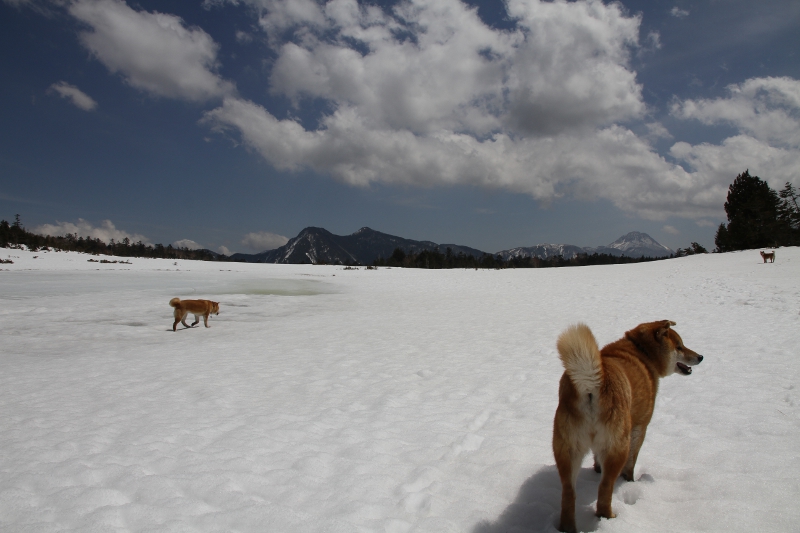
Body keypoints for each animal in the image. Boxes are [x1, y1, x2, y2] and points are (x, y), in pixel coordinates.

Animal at [552, 320, 704, 532]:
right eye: (680, 346)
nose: (700, 357)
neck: (641, 352)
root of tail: (591, 386)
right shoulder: (640, 427)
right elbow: (631, 463)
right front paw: (630, 481)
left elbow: (597, 459)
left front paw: (597, 468)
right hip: (618, 446)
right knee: (605, 489)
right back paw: (609, 517)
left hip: (567, 450)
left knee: (568, 493)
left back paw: (567, 527)